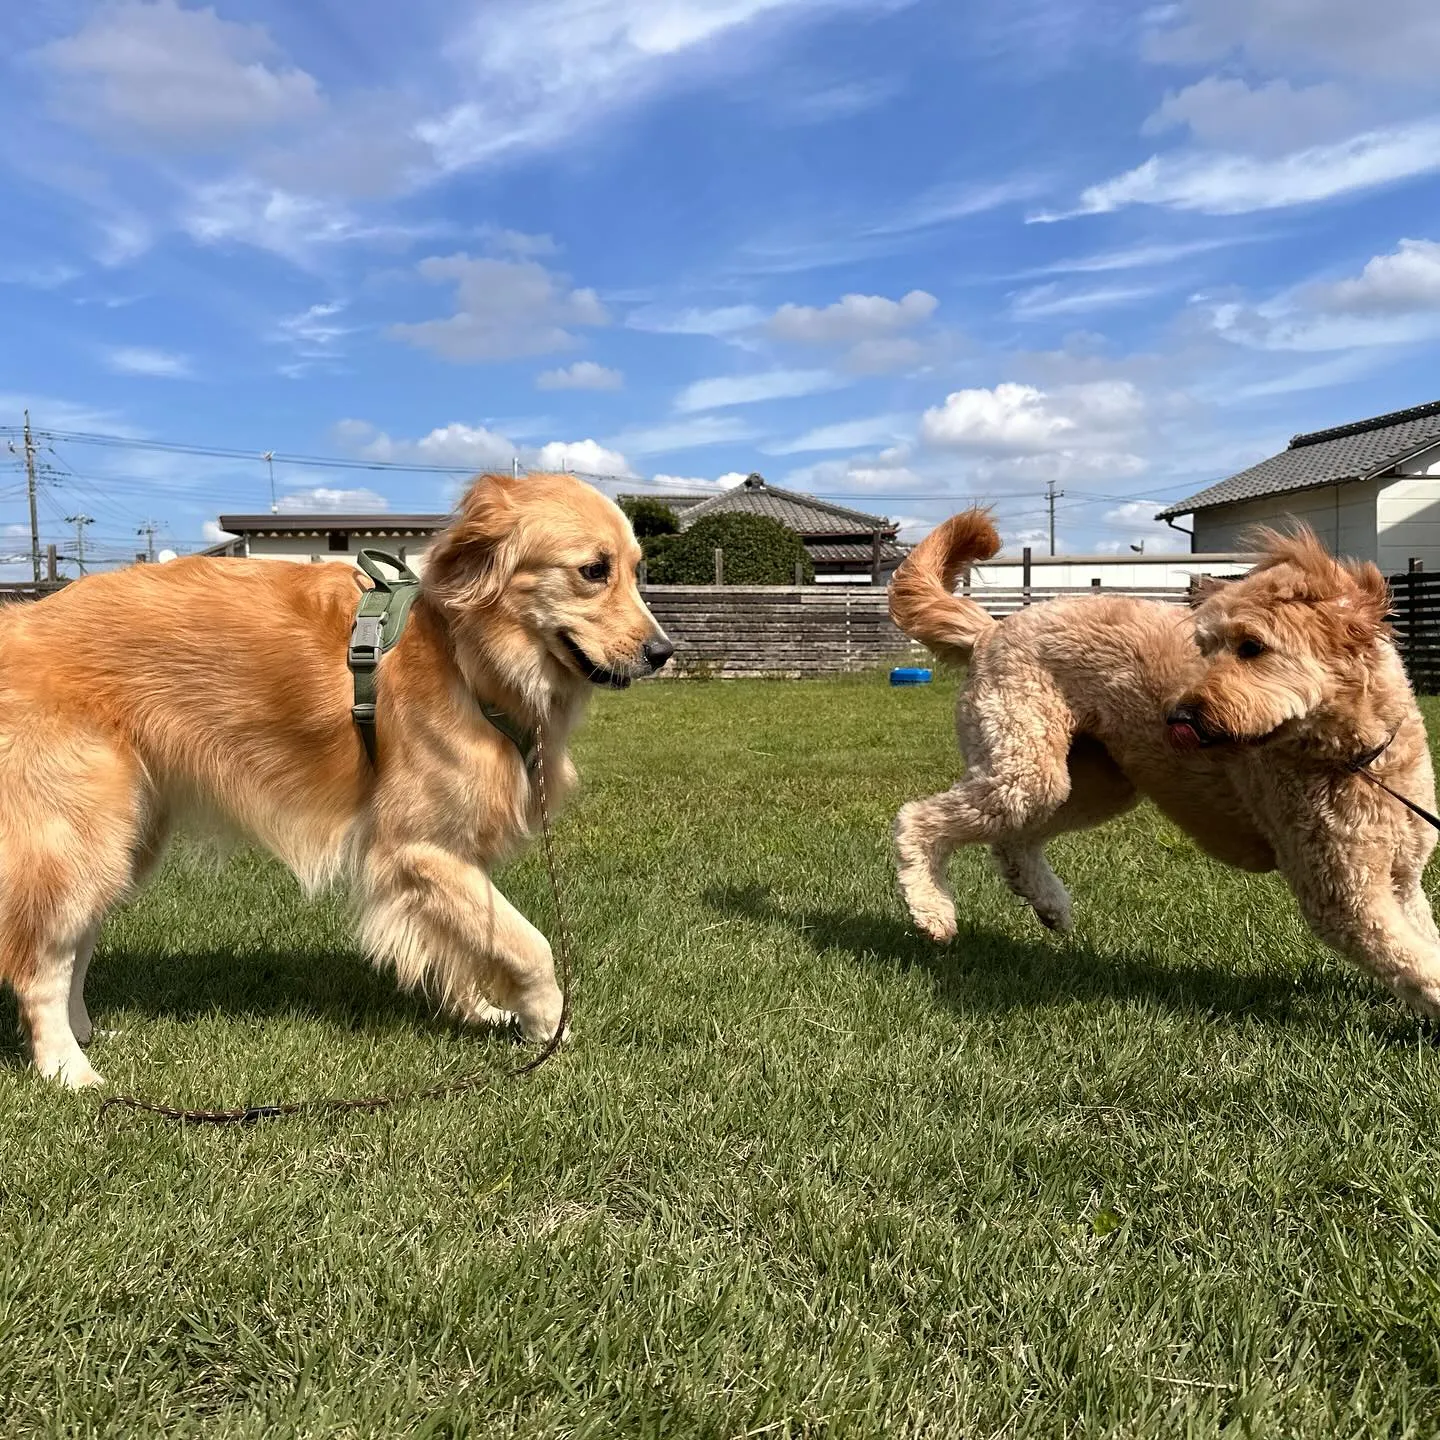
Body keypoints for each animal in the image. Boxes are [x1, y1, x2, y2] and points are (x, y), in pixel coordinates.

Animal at [0, 466, 673, 1082]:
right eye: (594, 571)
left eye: (636, 569)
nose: (664, 653)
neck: (464, 653)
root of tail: (19, 620)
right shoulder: (416, 848)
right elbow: (530, 944)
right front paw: (548, 1026)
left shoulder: (450, 857)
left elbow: (471, 942)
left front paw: (482, 1010)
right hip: (77, 836)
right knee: (42, 963)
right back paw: (67, 1067)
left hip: (125, 839)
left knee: (76, 943)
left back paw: (87, 1032)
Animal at [887, 512, 1440, 1019]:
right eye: (1206, 646)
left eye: (1252, 647)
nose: (1179, 716)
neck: (1358, 760)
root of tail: (992, 629)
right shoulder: (1344, 894)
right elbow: (1418, 963)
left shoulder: (1401, 880)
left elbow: (1422, 946)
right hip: (1024, 766)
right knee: (918, 819)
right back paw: (932, 909)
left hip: (1087, 784)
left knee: (1014, 841)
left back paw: (1049, 905)